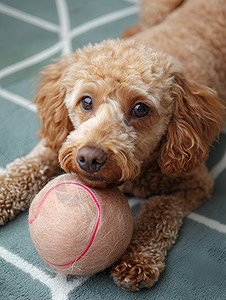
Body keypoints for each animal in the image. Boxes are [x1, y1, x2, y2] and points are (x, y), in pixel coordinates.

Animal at [0, 0, 225, 292]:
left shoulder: (194, 183)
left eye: (140, 109)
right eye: (86, 101)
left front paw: (138, 258)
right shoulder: (60, 140)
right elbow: (25, 168)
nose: (89, 158)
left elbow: (159, 212)